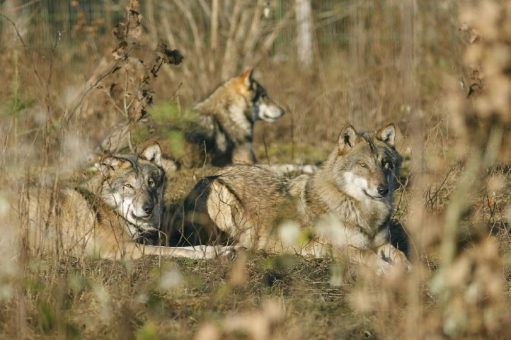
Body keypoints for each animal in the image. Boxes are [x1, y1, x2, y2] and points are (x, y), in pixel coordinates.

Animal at [20, 143, 234, 260]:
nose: (148, 208)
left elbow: (189, 247)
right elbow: (172, 251)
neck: (108, 208)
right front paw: (211, 254)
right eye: (129, 186)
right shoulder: (122, 249)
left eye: (151, 183)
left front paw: (220, 250)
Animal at [168, 124, 412, 274]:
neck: (364, 212)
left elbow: (400, 255)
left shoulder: (382, 244)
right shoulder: (342, 248)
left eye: (386, 164)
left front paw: (410, 269)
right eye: (363, 165)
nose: (383, 189)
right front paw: (391, 271)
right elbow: (371, 258)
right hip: (222, 195)